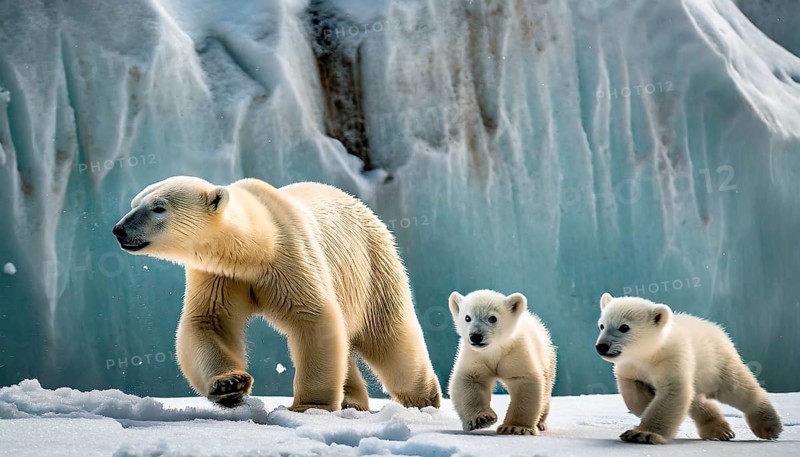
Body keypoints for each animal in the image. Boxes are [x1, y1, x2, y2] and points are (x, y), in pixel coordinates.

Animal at [112, 176, 442, 411]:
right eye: (134, 202)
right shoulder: (220, 276)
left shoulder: (290, 258)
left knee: (388, 336)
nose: (119, 229)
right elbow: (208, 323)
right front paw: (230, 384)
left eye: (158, 207)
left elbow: (314, 318)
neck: (256, 248)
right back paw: (353, 400)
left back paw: (425, 398)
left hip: (373, 266)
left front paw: (309, 406)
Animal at [447, 290, 556, 435]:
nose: (476, 336)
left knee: (546, 389)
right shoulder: (475, 355)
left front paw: (515, 427)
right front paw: (481, 419)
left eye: (492, 318)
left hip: (547, 359)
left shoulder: (515, 352)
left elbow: (525, 382)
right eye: (467, 317)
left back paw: (541, 423)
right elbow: (469, 380)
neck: (495, 349)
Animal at [595, 293, 782, 444]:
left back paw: (769, 427)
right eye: (602, 325)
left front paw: (642, 434)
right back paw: (720, 431)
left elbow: (673, 392)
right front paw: (645, 403)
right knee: (697, 399)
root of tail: (717, 328)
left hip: (716, 364)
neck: (650, 353)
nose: (602, 346)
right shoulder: (629, 366)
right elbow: (631, 389)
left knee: (738, 388)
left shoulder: (673, 358)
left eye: (624, 327)